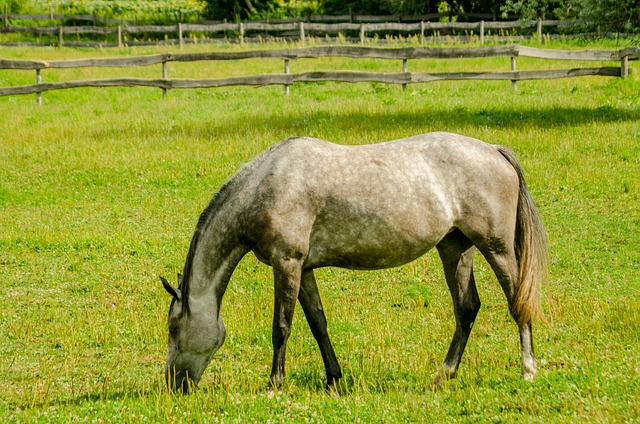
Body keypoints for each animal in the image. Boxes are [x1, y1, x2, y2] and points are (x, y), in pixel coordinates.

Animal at [160, 132, 547, 393]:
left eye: (174, 328)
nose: (173, 384)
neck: (268, 184)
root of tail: (494, 151)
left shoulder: (287, 263)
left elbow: (281, 327)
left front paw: (274, 385)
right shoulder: (304, 268)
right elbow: (318, 324)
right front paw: (333, 379)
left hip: (495, 247)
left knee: (517, 302)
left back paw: (528, 369)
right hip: (455, 247)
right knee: (466, 308)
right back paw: (443, 376)